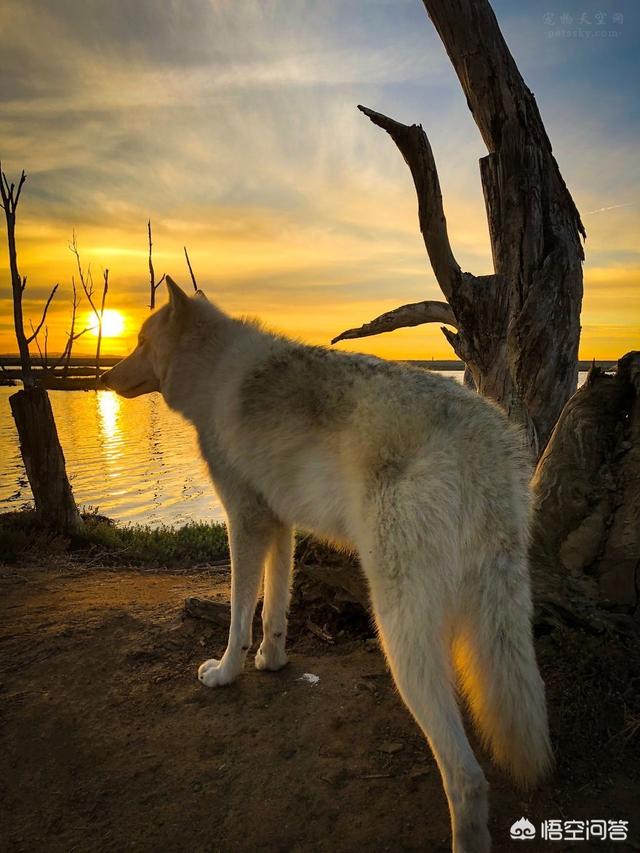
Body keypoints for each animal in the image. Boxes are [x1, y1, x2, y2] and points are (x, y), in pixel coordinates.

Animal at [104, 276, 552, 848]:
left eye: (140, 341)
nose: (104, 376)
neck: (216, 373)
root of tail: (483, 432)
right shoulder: (279, 526)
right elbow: (274, 608)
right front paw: (272, 662)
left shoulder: (244, 523)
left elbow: (238, 617)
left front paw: (225, 673)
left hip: (400, 638)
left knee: (466, 778)